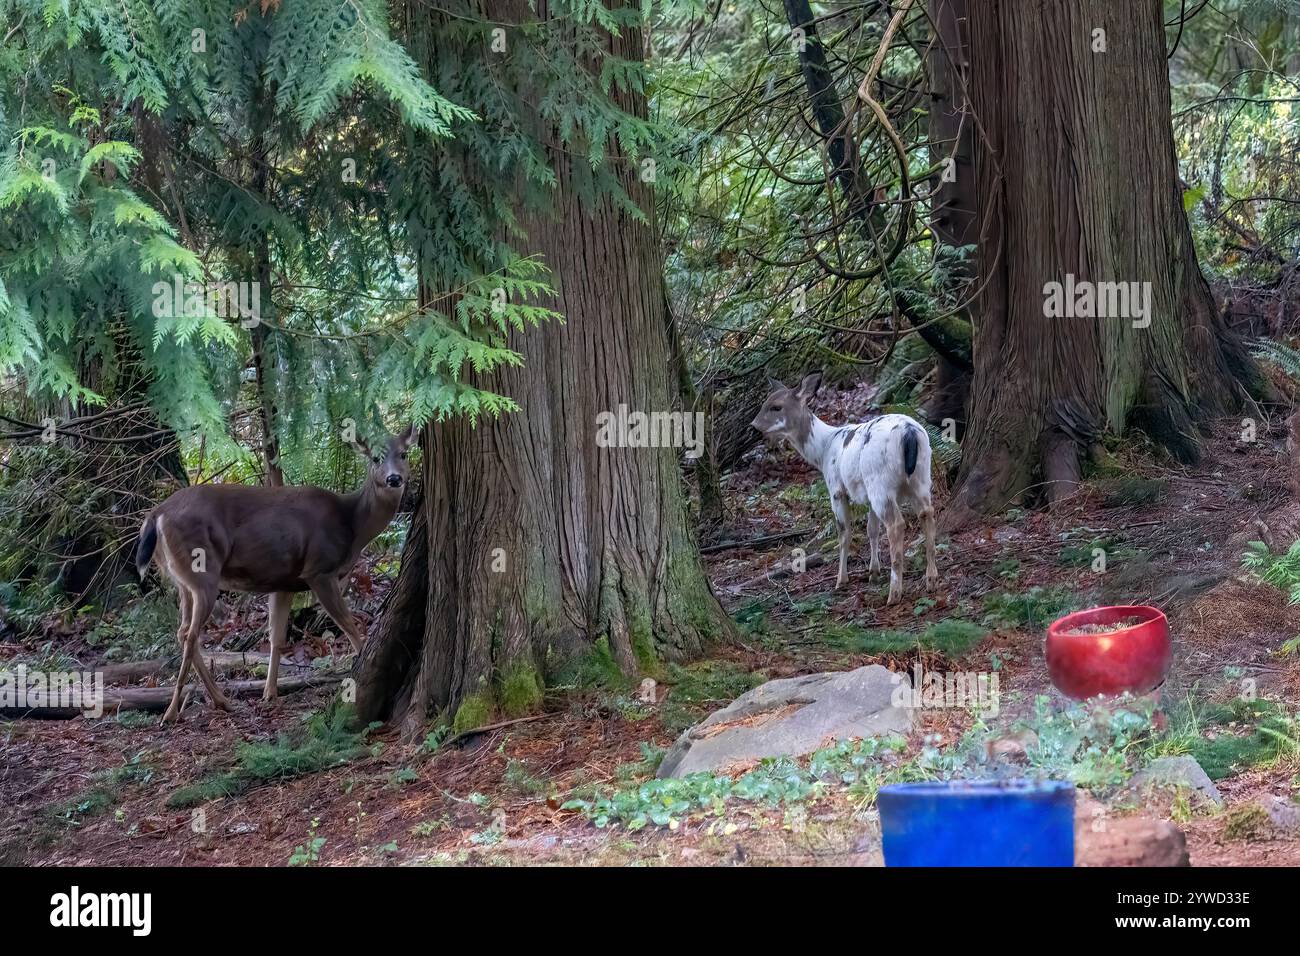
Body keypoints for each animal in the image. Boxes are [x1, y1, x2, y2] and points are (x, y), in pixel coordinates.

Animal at [134, 425, 418, 722]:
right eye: (375, 457)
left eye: (404, 454)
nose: (394, 478)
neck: (351, 524)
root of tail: (156, 515)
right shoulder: (319, 570)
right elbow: (349, 625)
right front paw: (363, 665)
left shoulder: (284, 582)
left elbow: (277, 639)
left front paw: (269, 693)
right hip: (203, 571)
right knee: (190, 635)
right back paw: (172, 711)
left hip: (182, 581)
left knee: (182, 631)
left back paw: (222, 701)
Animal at [751, 373, 938, 603]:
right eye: (764, 403)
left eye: (776, 406)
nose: (754, 425)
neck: (823, 449)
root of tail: (909, 432)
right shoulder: (866, 495)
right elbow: (871, 530)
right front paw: (873, 572)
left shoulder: (836, 490)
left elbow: (844, 533)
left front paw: (841, 580)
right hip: (920, 476)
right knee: (927, 513)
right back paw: (931, 580)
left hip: (880, 481)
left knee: (896, 524)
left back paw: (894, 594)